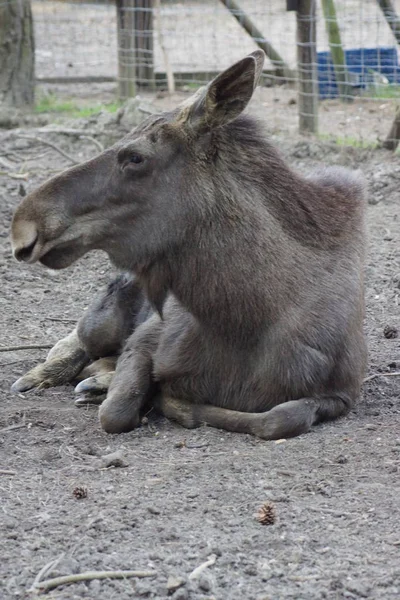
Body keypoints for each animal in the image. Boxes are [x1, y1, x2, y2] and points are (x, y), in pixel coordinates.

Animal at [10, 51, 368, 438]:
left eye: (135, 157)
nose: (23, 225)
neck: (245, 319)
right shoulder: (147, 337)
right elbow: (117, 411)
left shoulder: (342, 392)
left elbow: (280, 417)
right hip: (101, 321)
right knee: (77, 341)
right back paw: (43, 376)